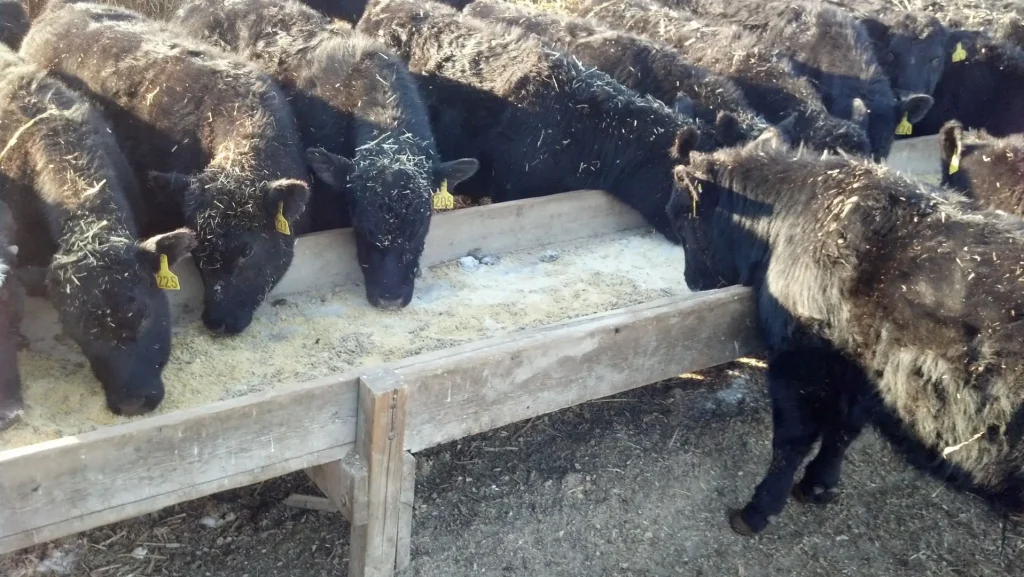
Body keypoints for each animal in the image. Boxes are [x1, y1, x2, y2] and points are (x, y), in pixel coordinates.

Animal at [668, 125, 1024, 536]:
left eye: (682, 218)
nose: (692, 281)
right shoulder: (861, 369)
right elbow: (843, 429)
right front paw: (818, 485)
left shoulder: (800, 357)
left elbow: (794, 435)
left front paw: (758, 510)